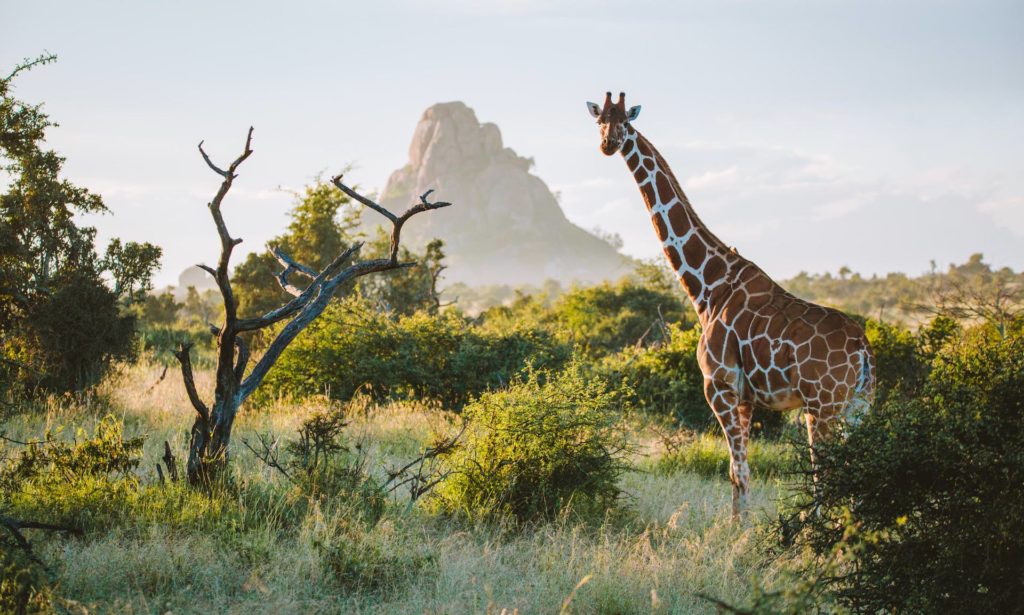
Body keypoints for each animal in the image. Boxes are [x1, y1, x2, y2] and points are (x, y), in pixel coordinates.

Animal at [587, 92, 876, 517]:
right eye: (600, 121)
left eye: (626, 122)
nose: (608, 144)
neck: (708, 285)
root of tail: (862, 348)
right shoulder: (746, 397)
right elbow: (738, 472)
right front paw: (741, 525)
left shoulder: (718, 385)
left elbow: (737, 471)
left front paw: (735, 531)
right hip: (858, 405)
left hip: (822, 404)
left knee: (826, 471)